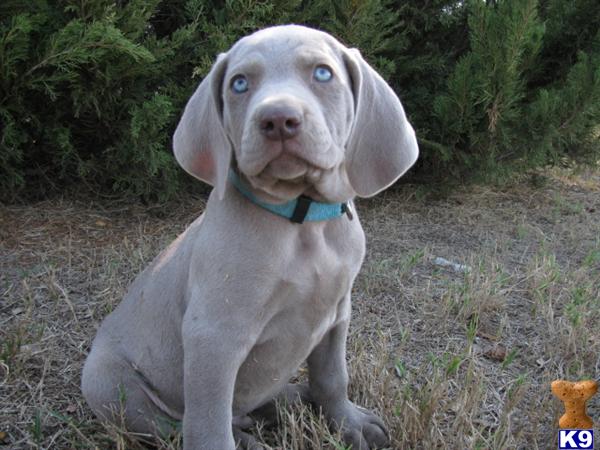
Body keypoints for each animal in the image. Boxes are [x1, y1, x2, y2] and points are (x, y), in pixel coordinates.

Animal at [82, 24, 420, 450]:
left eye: (323, 73)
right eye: (239, 83)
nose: (278, 119)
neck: (303, 222)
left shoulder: (338, 312)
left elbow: (332, 377)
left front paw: (349, 422)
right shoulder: (213, 336)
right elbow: (208, 427)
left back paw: (293, 398)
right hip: (108, 384)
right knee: (178, 424)